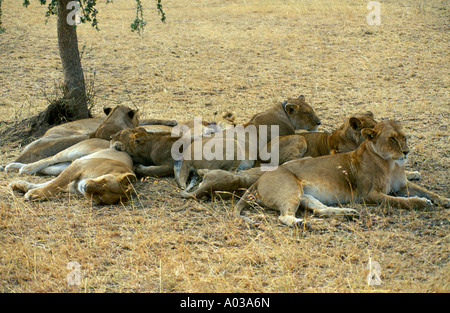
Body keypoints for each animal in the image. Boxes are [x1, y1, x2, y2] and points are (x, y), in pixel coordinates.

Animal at [234, 120, 448, 227]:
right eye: (392, 139)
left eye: (405, 137)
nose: (406, 152)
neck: (391, 164)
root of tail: (259, 179)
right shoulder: (370, 195)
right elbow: (400, 201)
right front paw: (421, 203)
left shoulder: (403, 185)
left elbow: (427, 191)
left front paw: (445, 200)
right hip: (290, 189)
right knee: (284, 217)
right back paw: (302, 224)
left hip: (305, 195)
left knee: (320, 210)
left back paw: (348, 214)